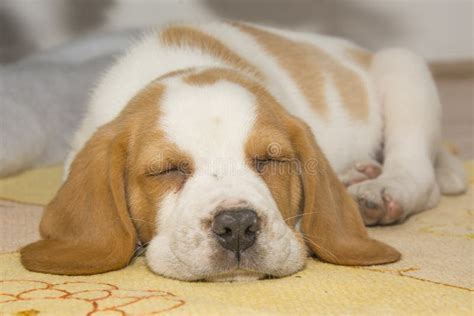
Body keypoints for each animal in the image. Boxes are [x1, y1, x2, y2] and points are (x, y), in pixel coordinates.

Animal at [21, 22, 466, 282]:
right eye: (167, 170)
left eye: (270, 160)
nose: (237, 226)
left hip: (403, 68)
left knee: (420, 176)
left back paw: (380, 191)